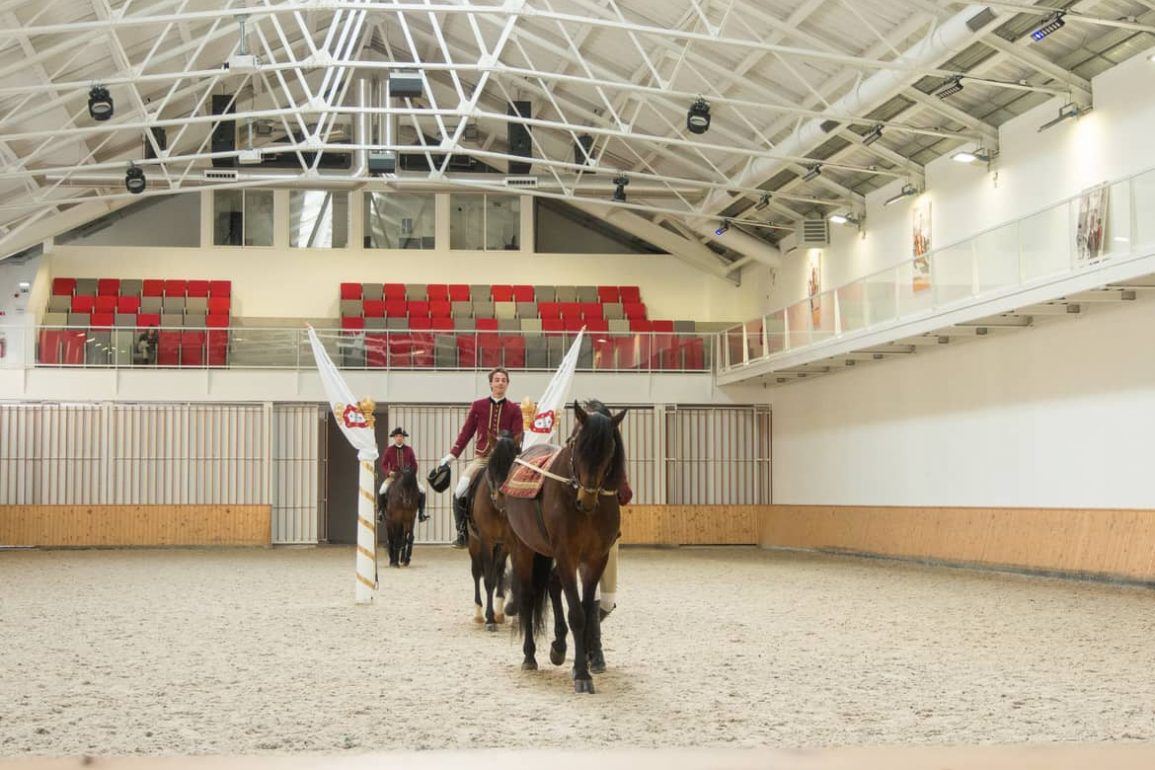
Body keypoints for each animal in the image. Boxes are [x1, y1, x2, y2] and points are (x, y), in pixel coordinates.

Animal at [464, 431, 519, 628]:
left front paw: (504, 613)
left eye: (514, 463)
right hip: (474, 544)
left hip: (500, 546)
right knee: (476, 573)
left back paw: (499, 612)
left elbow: (501, 576)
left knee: (498, 571)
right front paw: (489, 618)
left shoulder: (510, 543)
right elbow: (488, 580)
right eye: (493, 463)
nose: (501, 496)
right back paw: (479, 613)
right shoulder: (486, 541)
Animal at [501, 401, 623, 697]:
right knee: (528, 596)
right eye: (577, 443)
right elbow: (576, 614)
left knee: (552, 585)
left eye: (610, 449)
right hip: (523, 549)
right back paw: (530, 656)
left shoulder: (595, 559)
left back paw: (558, 647)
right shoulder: (567, 555)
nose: (586, 500)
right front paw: (581, 675)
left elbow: (588, 611)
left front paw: (584, 663)